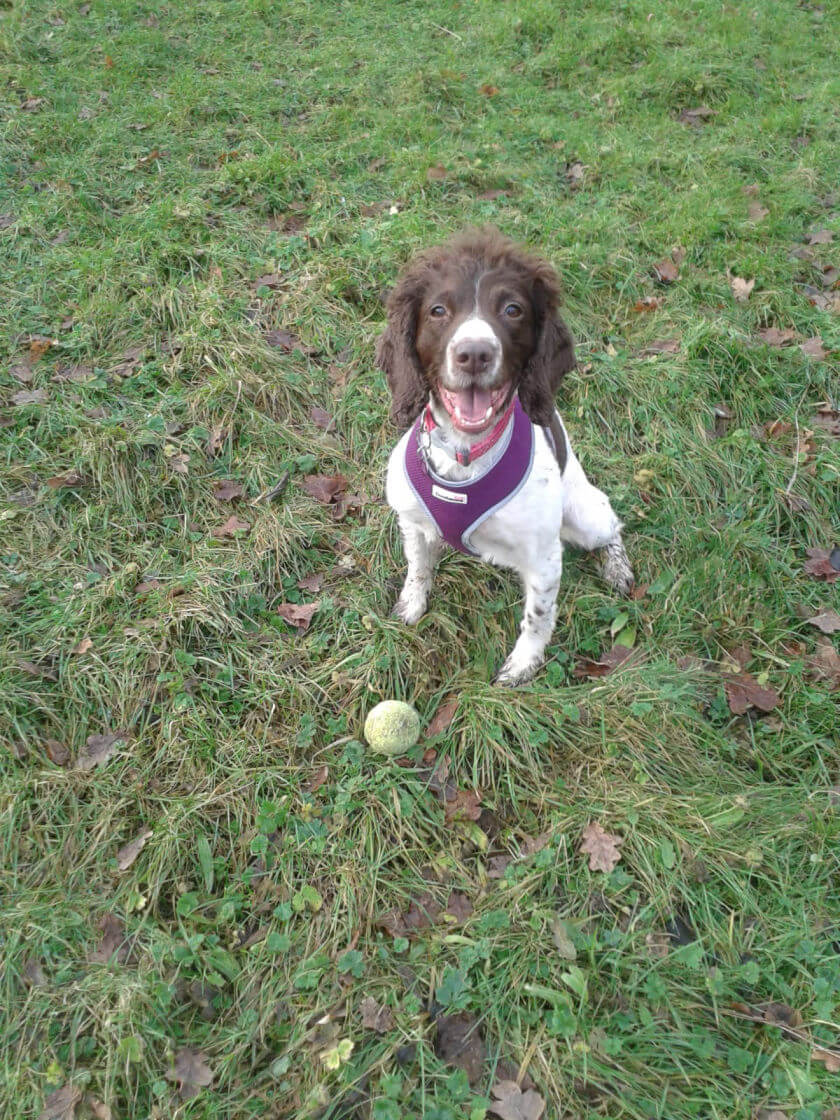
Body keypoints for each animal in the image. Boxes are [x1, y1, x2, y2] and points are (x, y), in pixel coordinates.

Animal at [378, 226, 636, 680]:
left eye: (512, 309)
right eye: (438, 310)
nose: (474, 354)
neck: (464, 455)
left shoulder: (545, 558)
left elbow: (537, 616)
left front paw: (523, 665)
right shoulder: (412, 522)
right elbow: (418, 568)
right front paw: (411, 606)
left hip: (583, 514)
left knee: (611, 527)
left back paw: (617, 567)